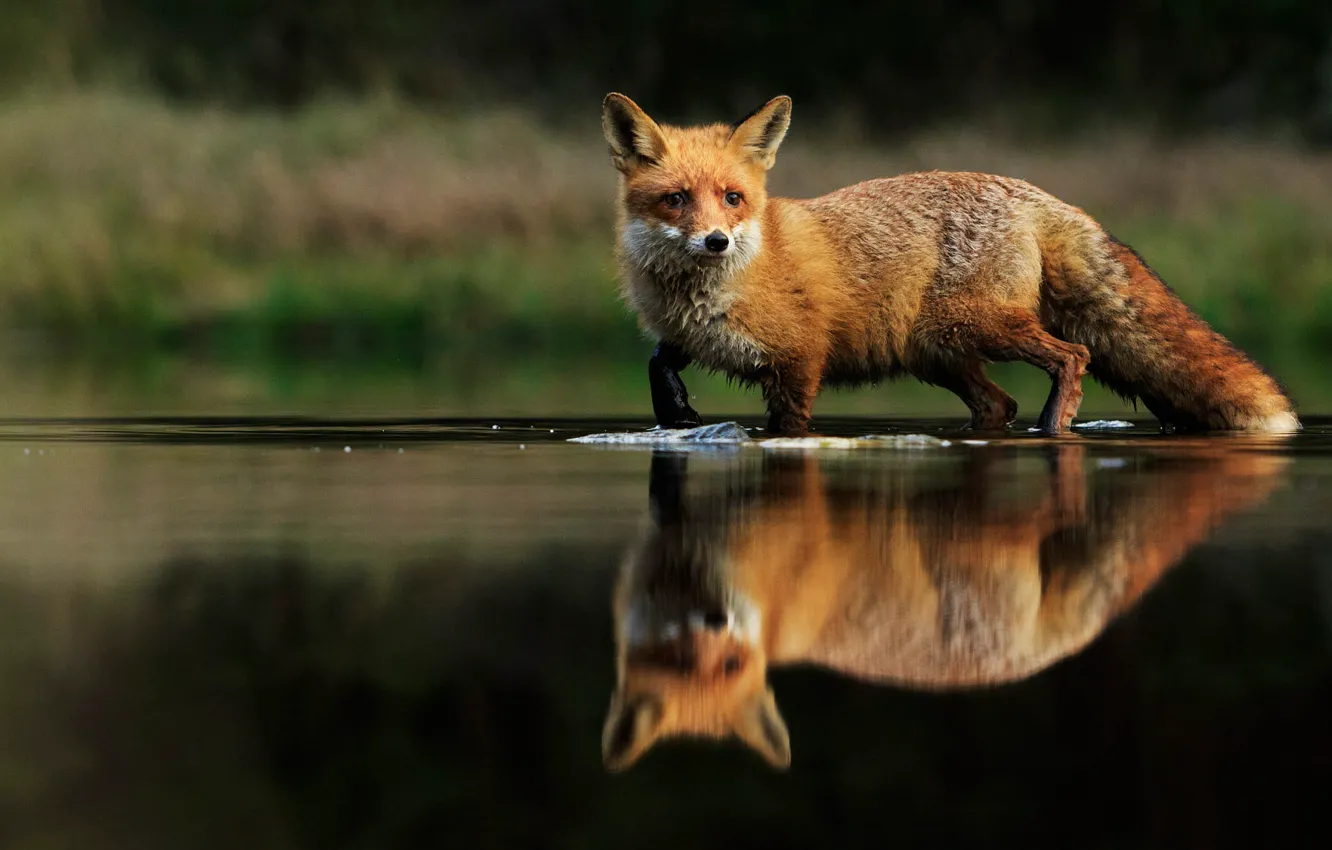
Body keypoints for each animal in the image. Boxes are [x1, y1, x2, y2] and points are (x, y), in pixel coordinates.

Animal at [601, 92, 1301, 436]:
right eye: (676, 199)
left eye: (732, 198)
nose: (715, 242)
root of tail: (1032, 192)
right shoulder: (698, 337)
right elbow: (659, 360)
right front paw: (676, 413)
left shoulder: (799, 362)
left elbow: (788, 427)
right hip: (935, 352)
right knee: (998, 404)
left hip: (970, 328)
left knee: (1072, 357)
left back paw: (1053, 430)